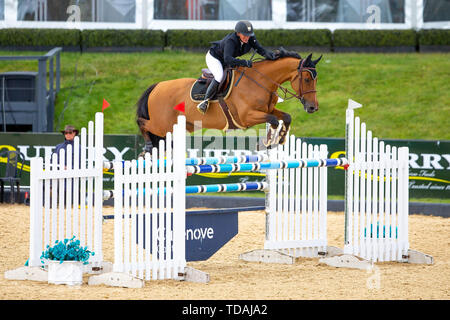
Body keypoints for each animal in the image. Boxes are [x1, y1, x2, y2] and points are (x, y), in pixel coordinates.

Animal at [135, 49, 322, 155]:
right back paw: (148, 147)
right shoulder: (247, 117)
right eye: (306, 79)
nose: (313, 107)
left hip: (185, 125)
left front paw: (279, 141)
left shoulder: (268, 109)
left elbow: (286, 117)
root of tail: (157, 86)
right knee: (142, 122)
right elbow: (274, 120)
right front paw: (266, 143)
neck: (261, 81)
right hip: (161, 125)